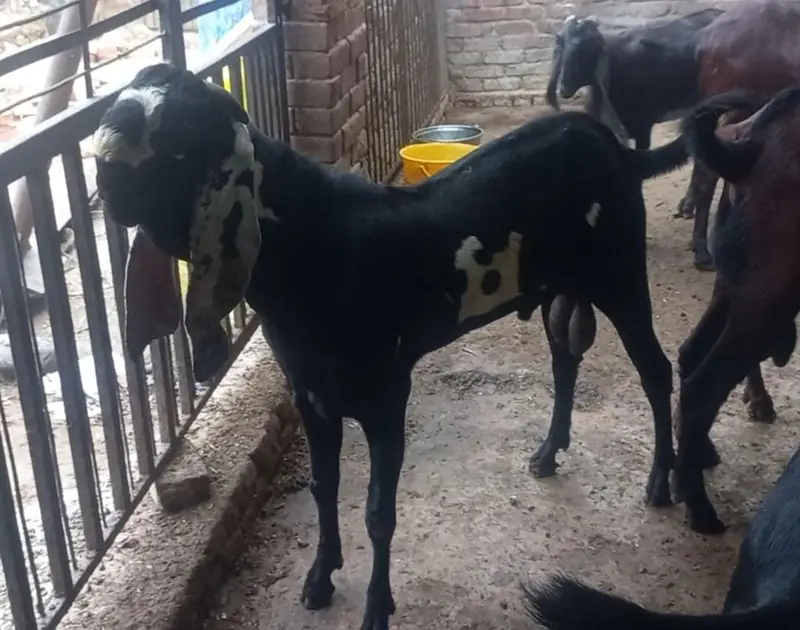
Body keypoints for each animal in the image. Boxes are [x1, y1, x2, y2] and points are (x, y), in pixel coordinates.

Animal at [93, 63, 689, 630]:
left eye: (184, 130)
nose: (104, 172)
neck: (317, 243)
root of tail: (612, 146)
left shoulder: (386, 395)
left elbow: (379, 512)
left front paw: (377, 608)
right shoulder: (310, 395)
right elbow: (323, 485)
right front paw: (320, 579)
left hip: (620, 272)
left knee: (656, 370)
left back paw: (662, 481)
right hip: (560, 284)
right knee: (565, 355)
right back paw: (548, 452)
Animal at [667, 85, 800, 535]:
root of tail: (751, 143)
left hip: (734, 286)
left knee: (690, 354)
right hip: (769, 295)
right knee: (703, 386)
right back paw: (699, 507)